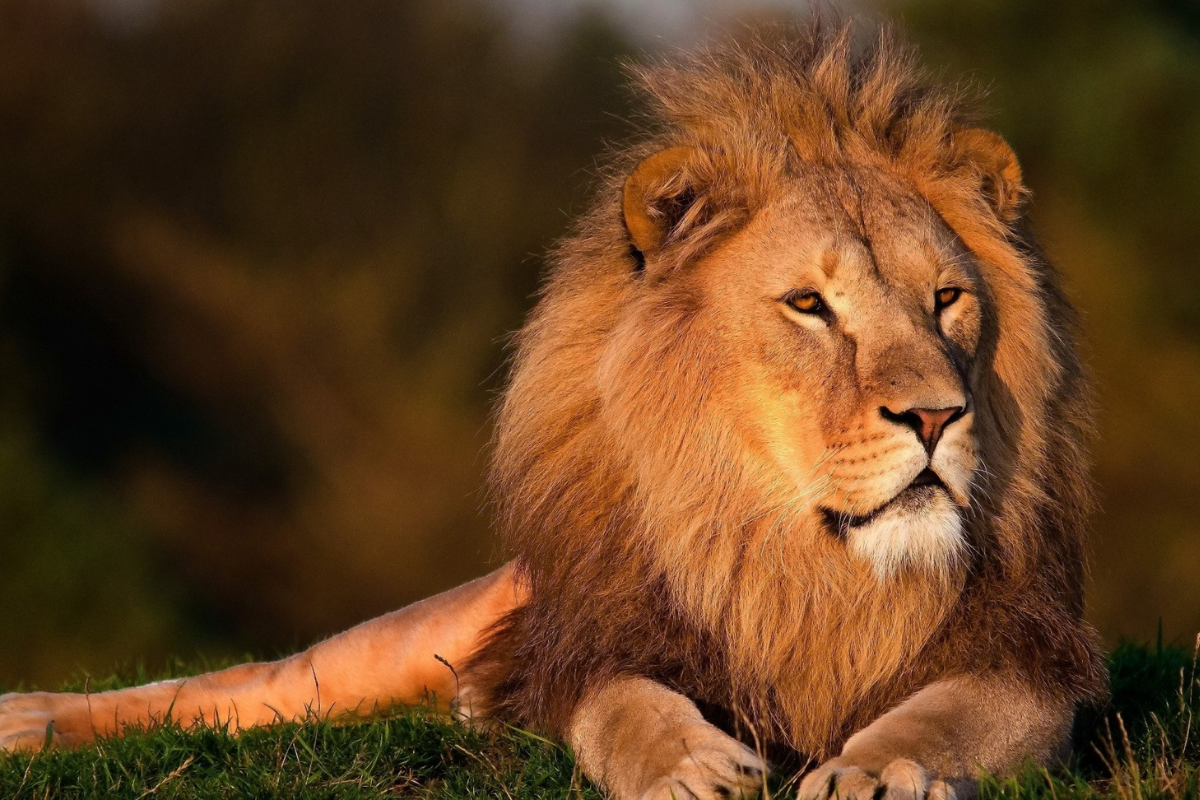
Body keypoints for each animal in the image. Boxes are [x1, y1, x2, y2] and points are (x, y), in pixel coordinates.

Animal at [0, 22, 1106, 800]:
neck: (798, 563)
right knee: (244, 688)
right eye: (809, 306)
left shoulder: (1028, 656)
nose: (937, 417)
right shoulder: (590, 643)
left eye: (946, 298)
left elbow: (948, 715)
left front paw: (878, 766)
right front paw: (691, 764)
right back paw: (29, 719)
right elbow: (625, 709)